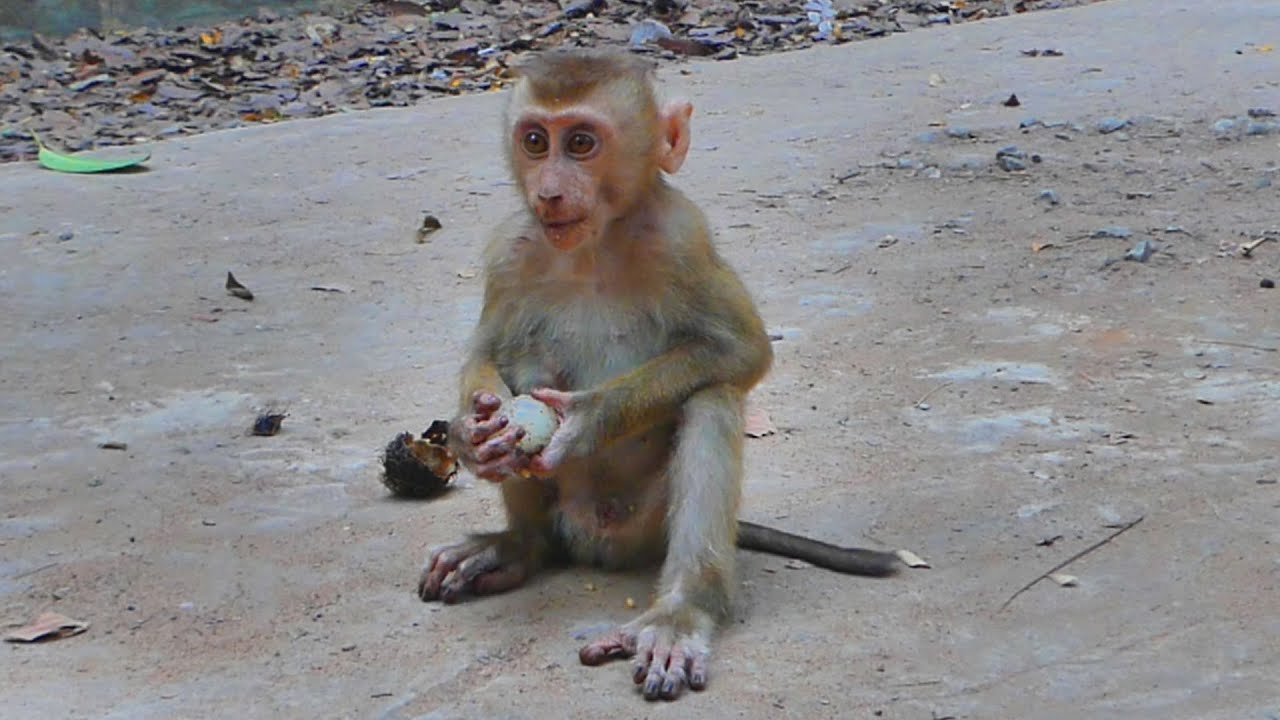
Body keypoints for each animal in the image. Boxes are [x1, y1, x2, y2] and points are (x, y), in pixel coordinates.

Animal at [415, 49, 899, 702]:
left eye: (582, 142)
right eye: (536, 141)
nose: (549, 191)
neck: (594, 245)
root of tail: (593, 545)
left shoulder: (682, 237)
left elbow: (742, 351)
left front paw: (586, 420)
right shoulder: (510, 249)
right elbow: (486, 354)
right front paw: (471, 434)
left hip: (645, 528)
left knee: (712, 399)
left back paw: (683, 611)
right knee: (526, 360)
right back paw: (518, 546)